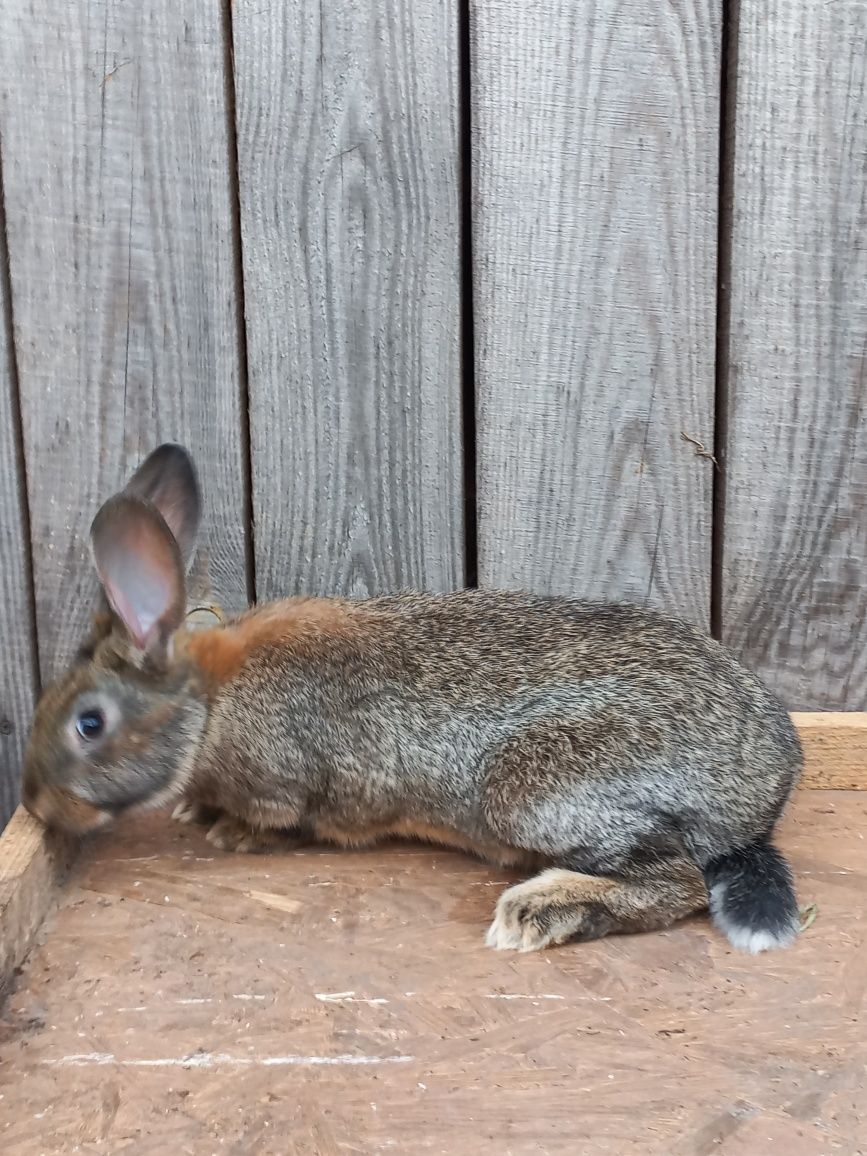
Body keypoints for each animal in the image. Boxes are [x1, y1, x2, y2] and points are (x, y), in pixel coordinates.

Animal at [22, 446, 809, 952]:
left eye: (88, 724)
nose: (35, 804)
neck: (208, 703)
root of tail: (768, 783)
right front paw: (195, 811)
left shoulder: (293, 785)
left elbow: (288, 822)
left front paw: (229, 831)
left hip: (531, 788)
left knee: (678, 879)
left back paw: (538, 912)